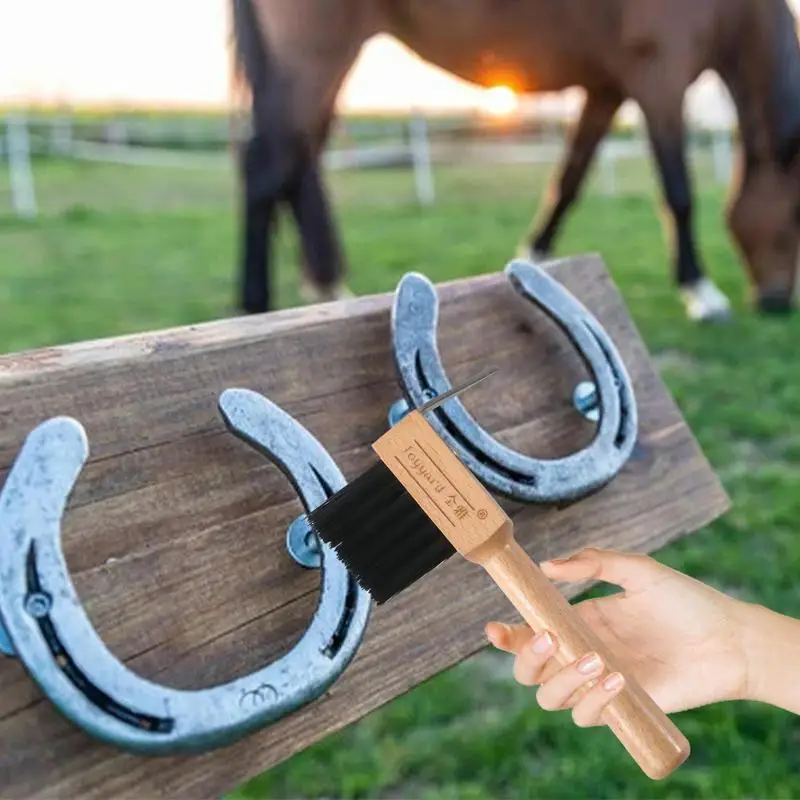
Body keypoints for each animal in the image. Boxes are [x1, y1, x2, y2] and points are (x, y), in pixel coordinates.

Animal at [228, 0, 800, 318]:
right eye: (794, 221)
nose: (777, 301)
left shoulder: (606, 87)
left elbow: (570, 179)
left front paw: (536, 260)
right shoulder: (658, 77)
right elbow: (677, 192)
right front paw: (701, 292)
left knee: (300, 161)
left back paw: (327, 285)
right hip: (315, 54)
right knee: (265, 166)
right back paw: (254, 306)